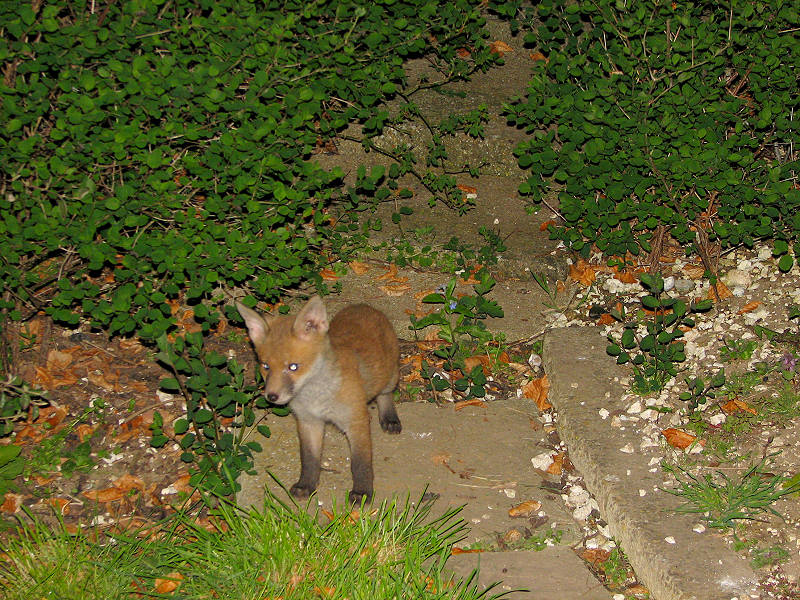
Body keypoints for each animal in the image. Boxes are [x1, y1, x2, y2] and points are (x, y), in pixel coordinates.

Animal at [235, 296, 402, 504]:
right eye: (265, 366)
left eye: (293, 367)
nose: (272, 396)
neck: (316, 398)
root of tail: (363, 306)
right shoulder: (308, 422)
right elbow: (309, 459)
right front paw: (306, 485)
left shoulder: (356, 421)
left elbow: (360, 463)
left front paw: (362, 492)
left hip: (391, 376)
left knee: (385, 394)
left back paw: (389, 417)